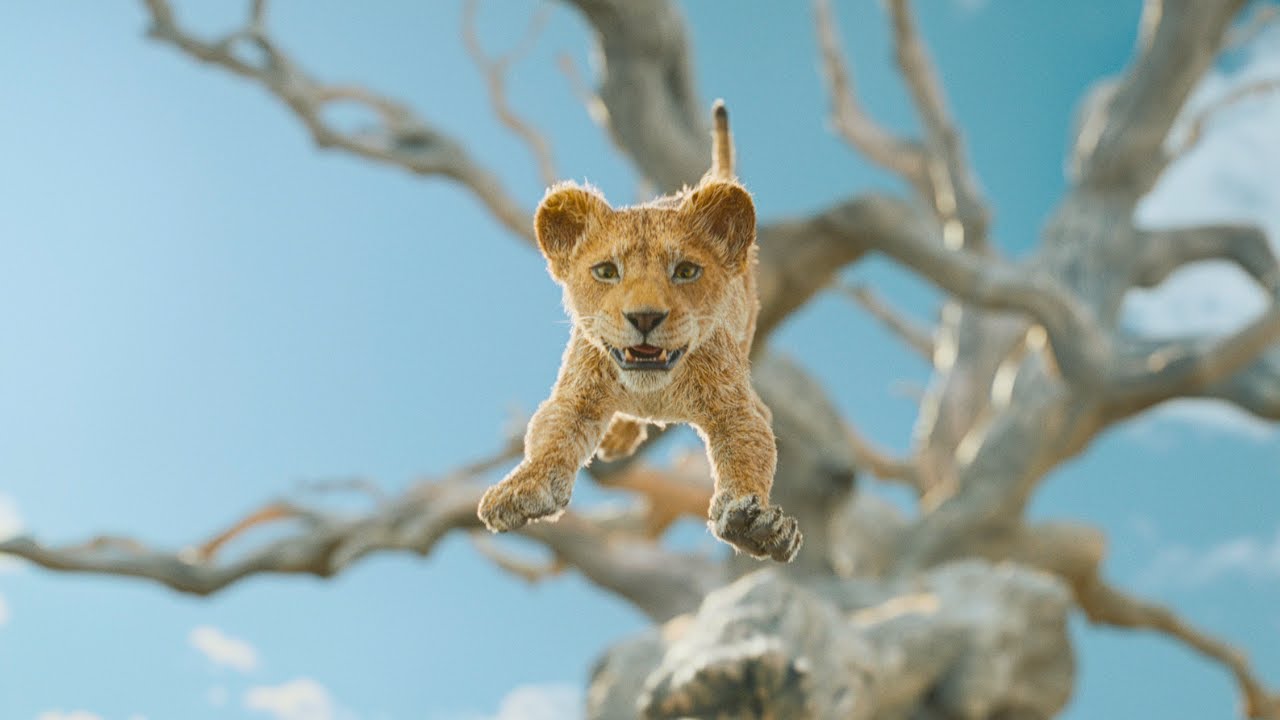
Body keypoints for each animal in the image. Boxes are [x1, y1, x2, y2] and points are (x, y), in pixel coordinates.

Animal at [476, 102, 802, 562]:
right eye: (606, 271)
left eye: (686, 271)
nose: (645, 318)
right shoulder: (576, 394)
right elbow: (550, 438)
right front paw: (521, 489)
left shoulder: (738, 407)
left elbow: (749, 452)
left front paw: (755, 526)